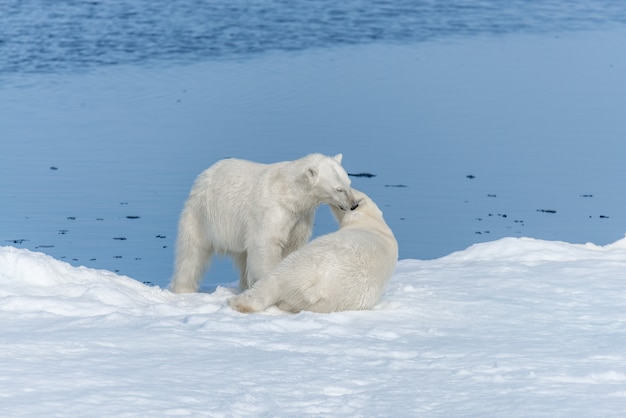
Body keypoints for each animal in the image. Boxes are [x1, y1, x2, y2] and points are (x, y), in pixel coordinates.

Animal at [169, 152, 356, 292]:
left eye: (349, 182)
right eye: (338, 189)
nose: (354, 205)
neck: (289, 193)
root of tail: (205, 173)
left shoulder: (300, 217)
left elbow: (292, 245)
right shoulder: (271, 211)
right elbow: (266, 244)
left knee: (243, 256)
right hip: (202, 214)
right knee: (192, 253)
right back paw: (183, 288)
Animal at [227, 189, 398, 314]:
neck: (374, 224)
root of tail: (315, 287)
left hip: (302, 263)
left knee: (272, 280)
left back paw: (237, 302)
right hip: (325, 302)